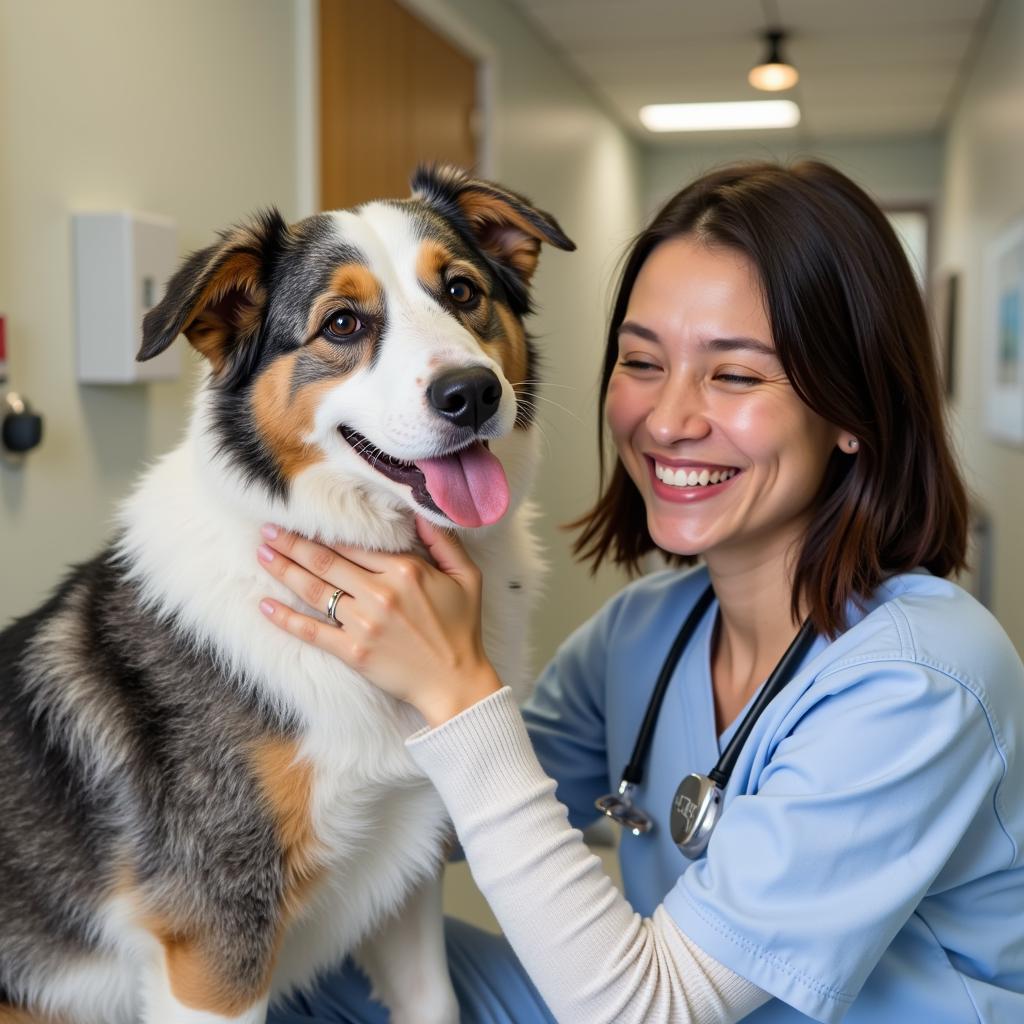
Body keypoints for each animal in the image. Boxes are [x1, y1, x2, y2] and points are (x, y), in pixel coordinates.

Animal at [0, 169, 577, 1024]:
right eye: (342, 322)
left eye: (462, 291)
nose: (471, 393)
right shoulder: (215, 940)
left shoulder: (404, 874)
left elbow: (433, 1002)